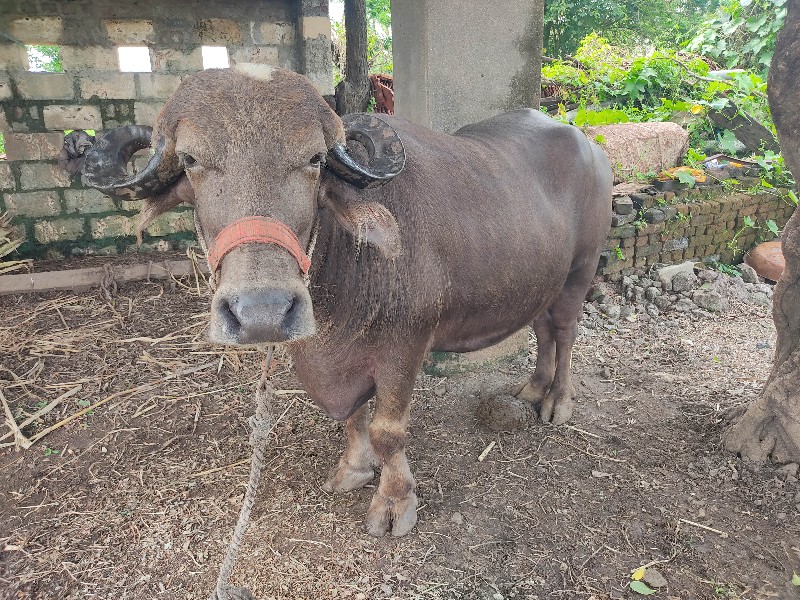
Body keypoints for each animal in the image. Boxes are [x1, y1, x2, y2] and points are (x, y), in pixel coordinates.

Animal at [84, 67, 612, 540]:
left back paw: (557, 401)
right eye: (191, 159)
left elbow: (387, 430)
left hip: (581, 270)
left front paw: (394, 503)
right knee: (543, 330)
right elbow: (354, 416)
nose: (262, 311)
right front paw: (355, 469)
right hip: (542, 281)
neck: (346, 279)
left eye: (315, 159)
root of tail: (593, 150)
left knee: (566, 333)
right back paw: (532, 389)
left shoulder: (405, 346)